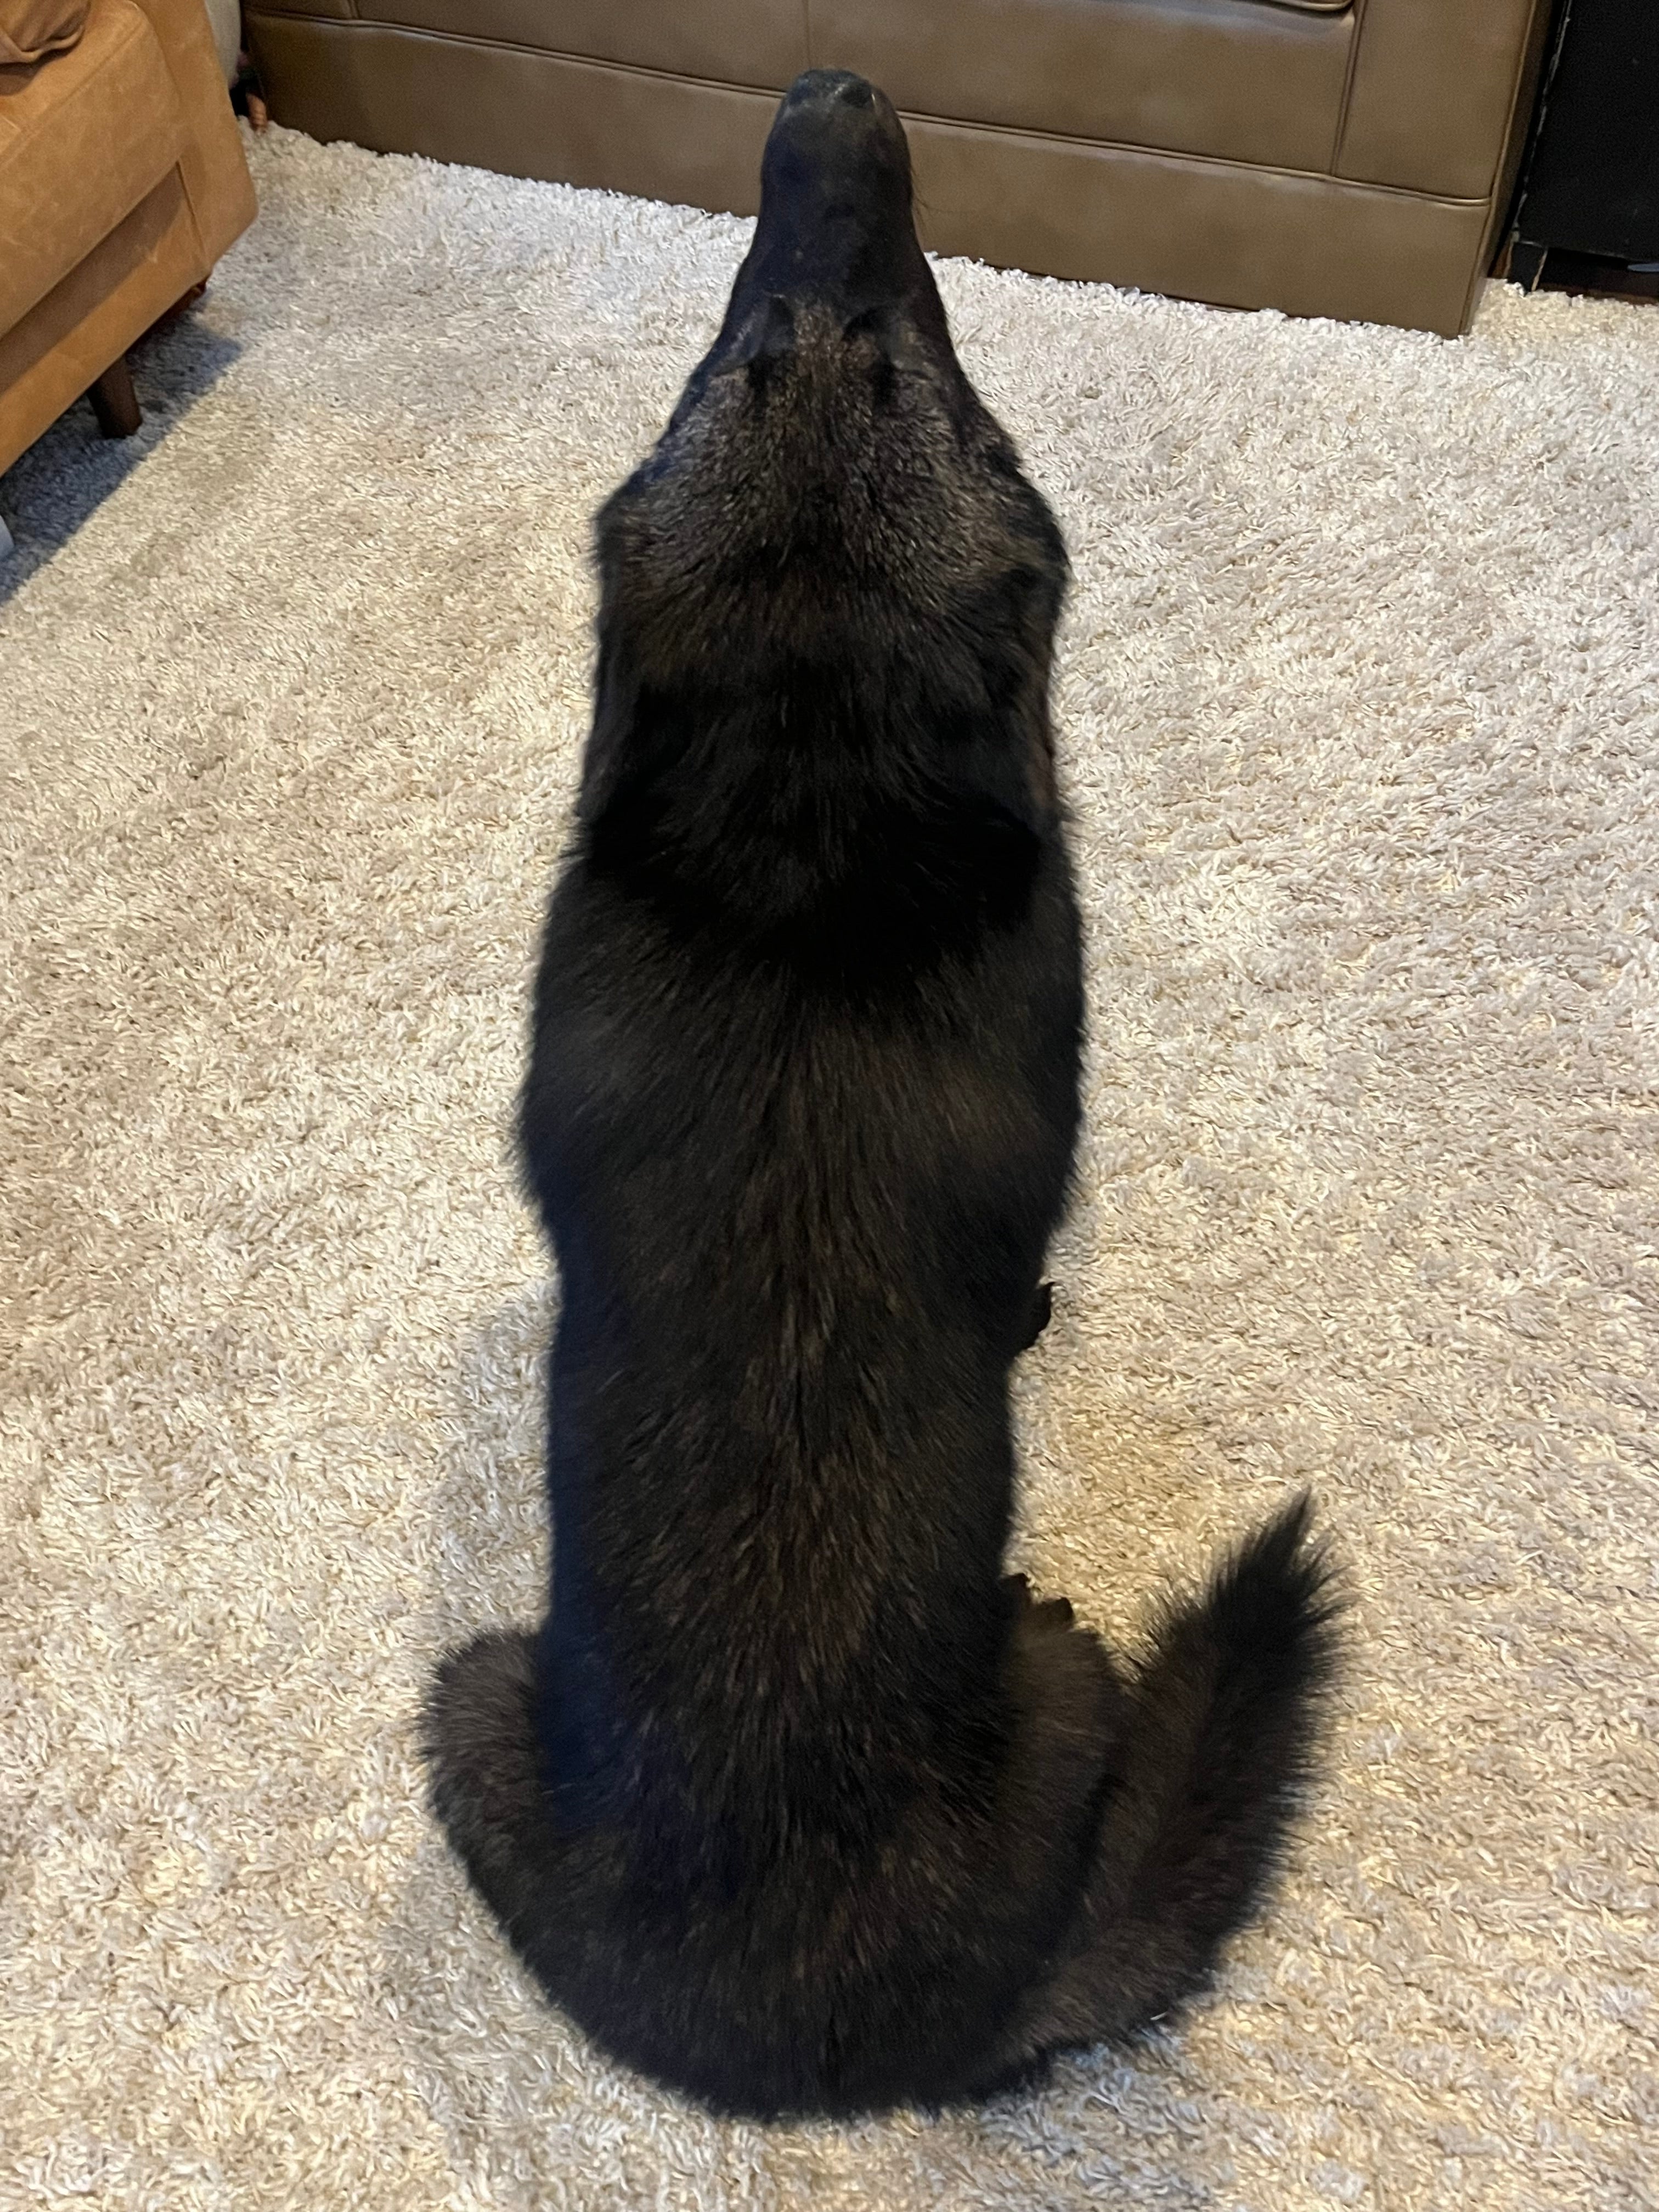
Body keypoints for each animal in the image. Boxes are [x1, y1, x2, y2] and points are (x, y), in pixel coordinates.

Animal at [424, 69, 1339, 2121]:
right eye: (932, 360)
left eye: (764, 343)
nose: (830, 92)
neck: (807, 787)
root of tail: (854, 2040)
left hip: (468, 1693)